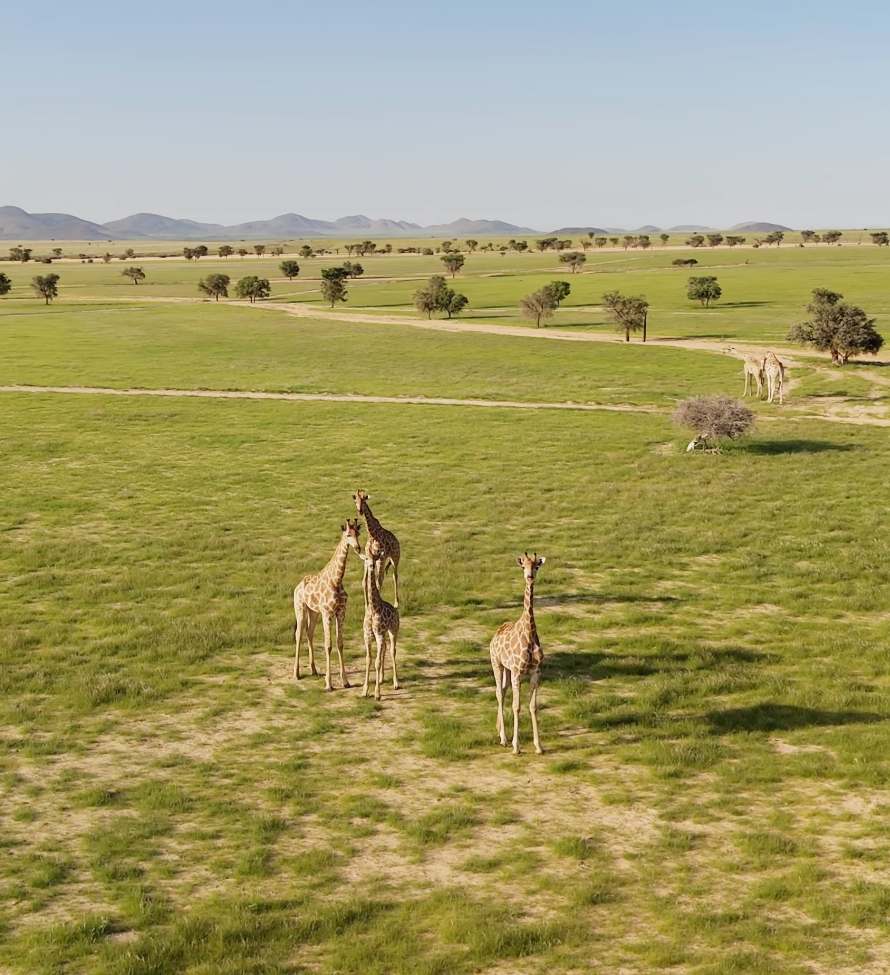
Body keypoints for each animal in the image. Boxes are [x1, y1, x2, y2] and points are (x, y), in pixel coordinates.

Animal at [293, 519, 362, 690]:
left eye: (358, 533)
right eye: (348, 534)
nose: (358, 548)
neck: (336, 580)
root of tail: (297, 586)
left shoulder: (341, 611)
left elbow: (340, 643)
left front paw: (346, 681)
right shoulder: (327, 612)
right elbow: (328, 645)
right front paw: (329, 684)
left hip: (313, 612)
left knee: (309, 632)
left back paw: (314, 670)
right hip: (300, 608)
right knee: (299, 634)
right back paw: (296, 673)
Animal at [489, 553, 546, 755]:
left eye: (536, 566)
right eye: (523, 567)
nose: (529, 577)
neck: (529, 633)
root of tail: (496, 634)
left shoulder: (536, 671)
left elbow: (533, 706)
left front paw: (539, 746)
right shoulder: (518, 672)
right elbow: (517, 706)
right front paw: (516, 746)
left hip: (507, 669)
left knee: (503, 690)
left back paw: (499, 732)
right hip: (497, 664)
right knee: (499, 692)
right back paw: (504, 739)